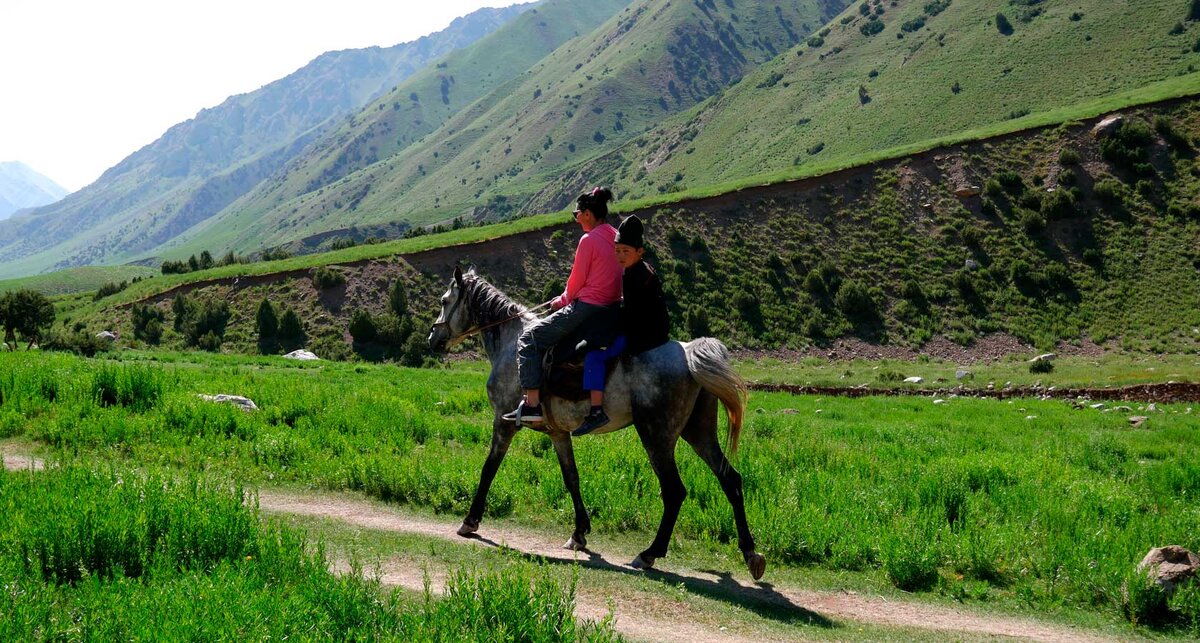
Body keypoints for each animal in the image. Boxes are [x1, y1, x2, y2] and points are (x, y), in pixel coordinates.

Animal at [432, 266, 763, 578]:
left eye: (445, 301)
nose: (433, 338)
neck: (513, 343)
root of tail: (690, 353)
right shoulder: (558, 433)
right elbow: (571, 478)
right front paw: (579, 534)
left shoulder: (504, 423)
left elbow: (489, 469)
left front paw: (470, 521)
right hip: (698, 432)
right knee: (730, 479)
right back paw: (750, 553)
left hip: (657, 436)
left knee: (674, 491)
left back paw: (650, 553)